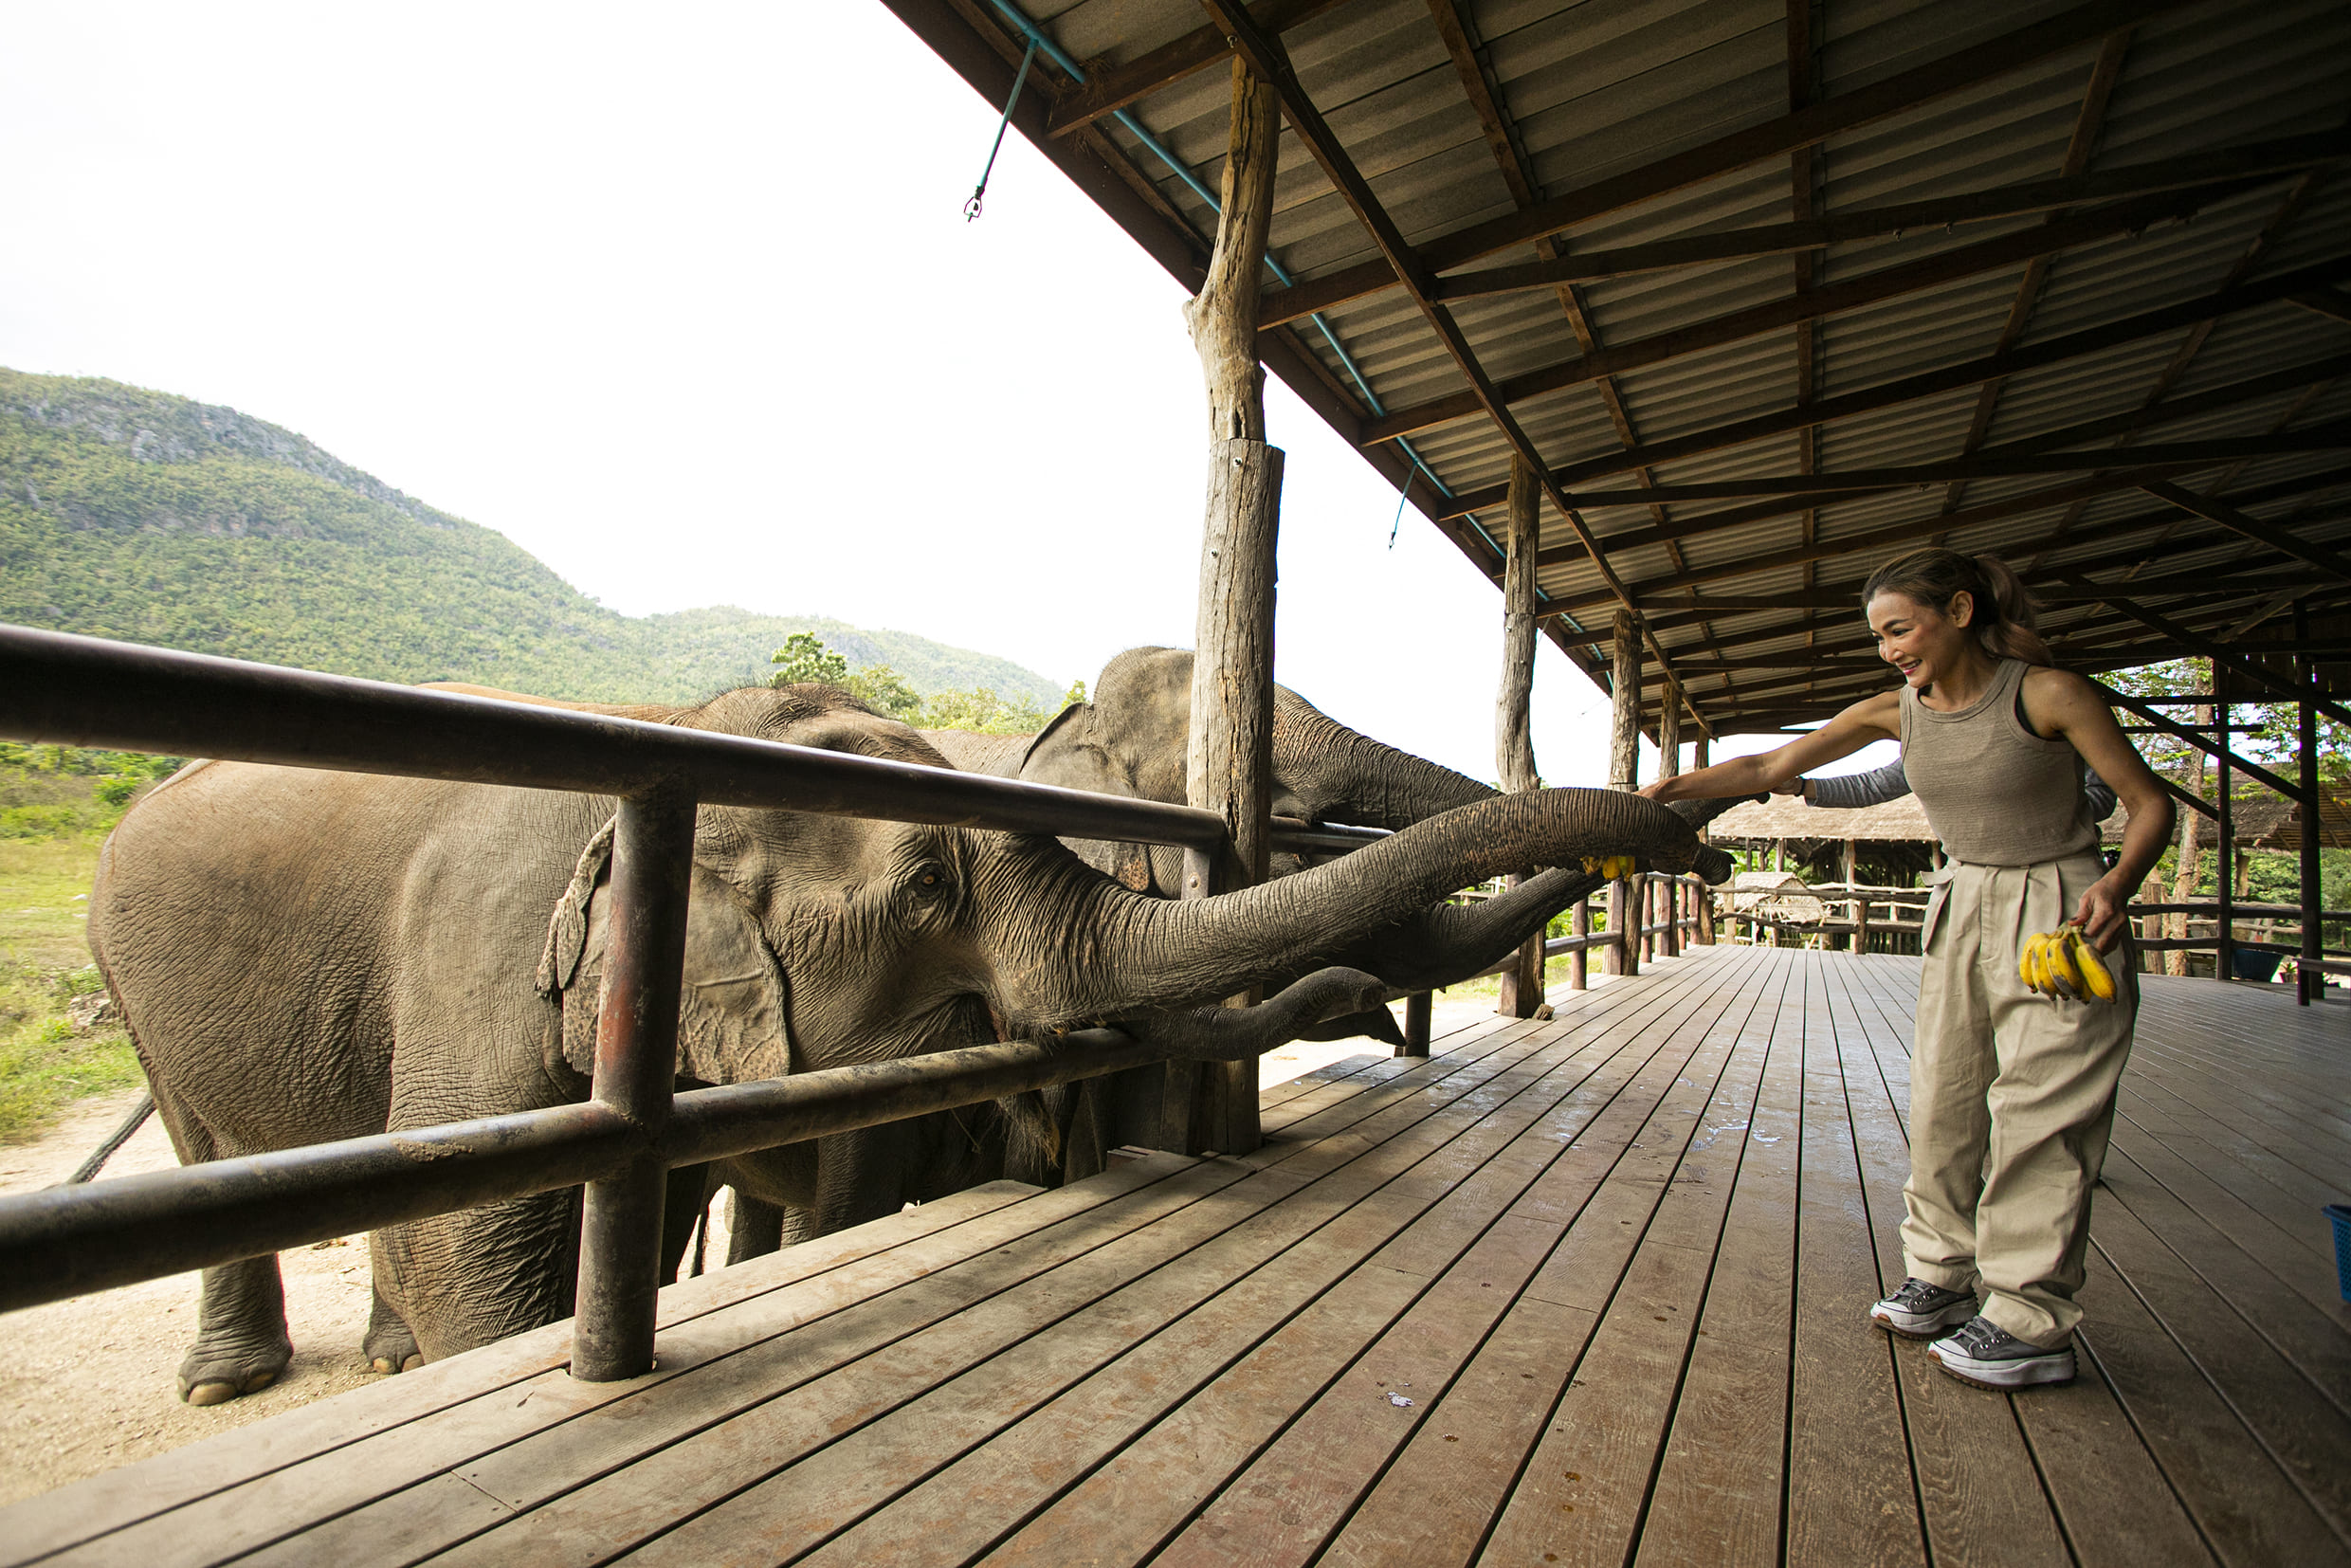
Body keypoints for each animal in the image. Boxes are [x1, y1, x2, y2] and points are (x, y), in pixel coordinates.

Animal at [91, 682, 1721, 1400]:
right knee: (208, 1144)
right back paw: (240, 1386)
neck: (693, 733)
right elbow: (484, 1255)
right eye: (933, 885)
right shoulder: (490, 966)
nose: (1694, 830)